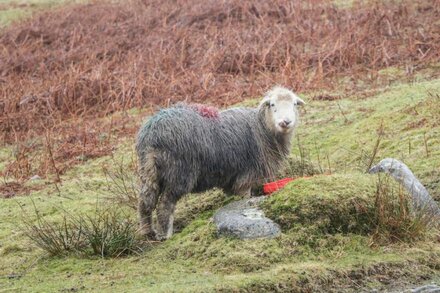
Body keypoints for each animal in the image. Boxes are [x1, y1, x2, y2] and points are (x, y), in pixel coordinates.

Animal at [136, 85, 304, 238]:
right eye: (272, 104)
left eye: (294, 104)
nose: (286, 122)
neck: (263, 128)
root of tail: (153, 132)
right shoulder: (246, 177)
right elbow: (244, 198)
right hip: (179, 172)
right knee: (165, 205)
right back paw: (166, 235)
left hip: (148, 170)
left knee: (145, 201)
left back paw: (147, 232)